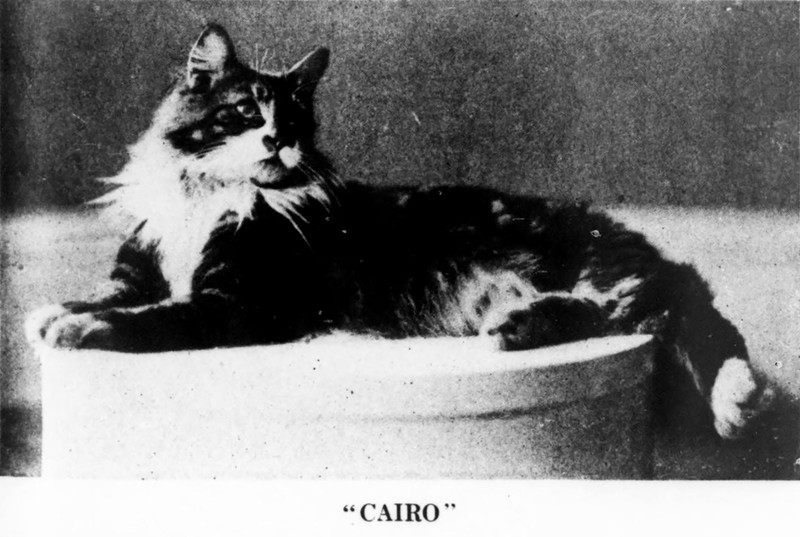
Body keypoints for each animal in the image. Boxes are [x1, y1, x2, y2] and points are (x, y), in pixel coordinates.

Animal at [27, 24, 773, 440]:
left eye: (294, 122)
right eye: (243, 112)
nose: (277, 141)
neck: (210, 197)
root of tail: (624, 234)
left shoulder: (241, 301)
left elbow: (151, 318)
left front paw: (78, 329)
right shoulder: (145, 269)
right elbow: (115, 293)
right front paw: (54, 312)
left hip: (599, 268)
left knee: (682, 312)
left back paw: (734, 395)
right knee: (635, 314)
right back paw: (521, 327)